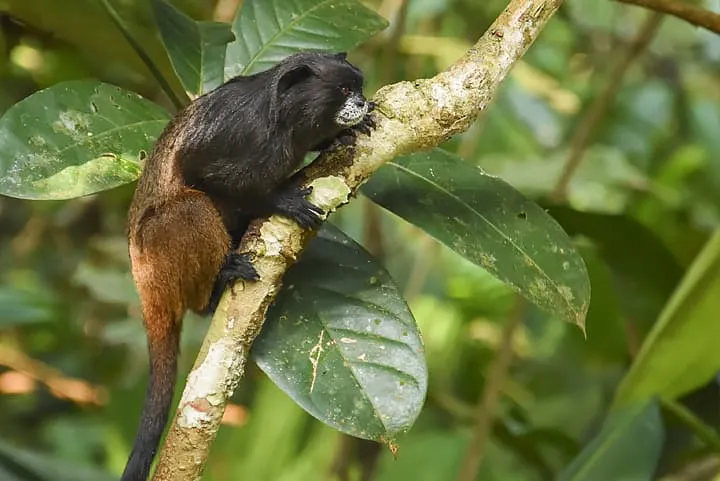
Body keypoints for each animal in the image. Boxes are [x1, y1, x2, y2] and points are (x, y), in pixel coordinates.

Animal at [121, 51, 375, 481]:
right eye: (343, 89)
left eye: (357, 87)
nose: (359, 102)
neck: (286, 124)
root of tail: (144, 281)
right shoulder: (237, 131)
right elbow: (202, 173)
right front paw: (278, 201)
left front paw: (348, 131)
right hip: (157, 252)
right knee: (191, 207)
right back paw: (214, 288)